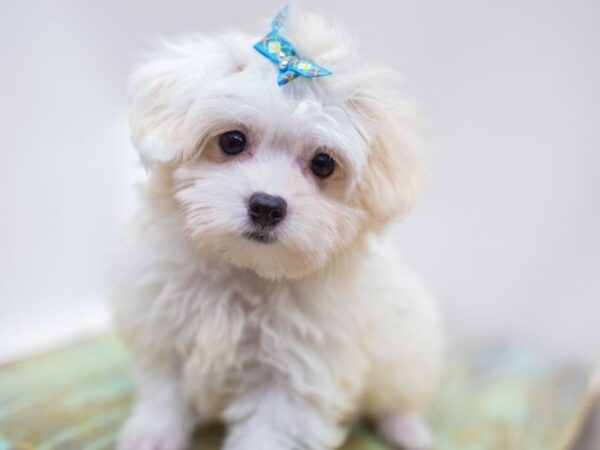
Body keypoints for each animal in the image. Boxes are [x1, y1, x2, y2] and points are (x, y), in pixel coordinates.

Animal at [112, 7, 442, 450]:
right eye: (232, 141)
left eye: (323, 164)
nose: (267, 206)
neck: (245, 272)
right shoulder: (167, 330)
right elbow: (164, 394)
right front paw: (151, 435)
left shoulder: (295, 369)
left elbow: (271, 427)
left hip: (405, 355)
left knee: (399, 399)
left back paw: (407, 429)